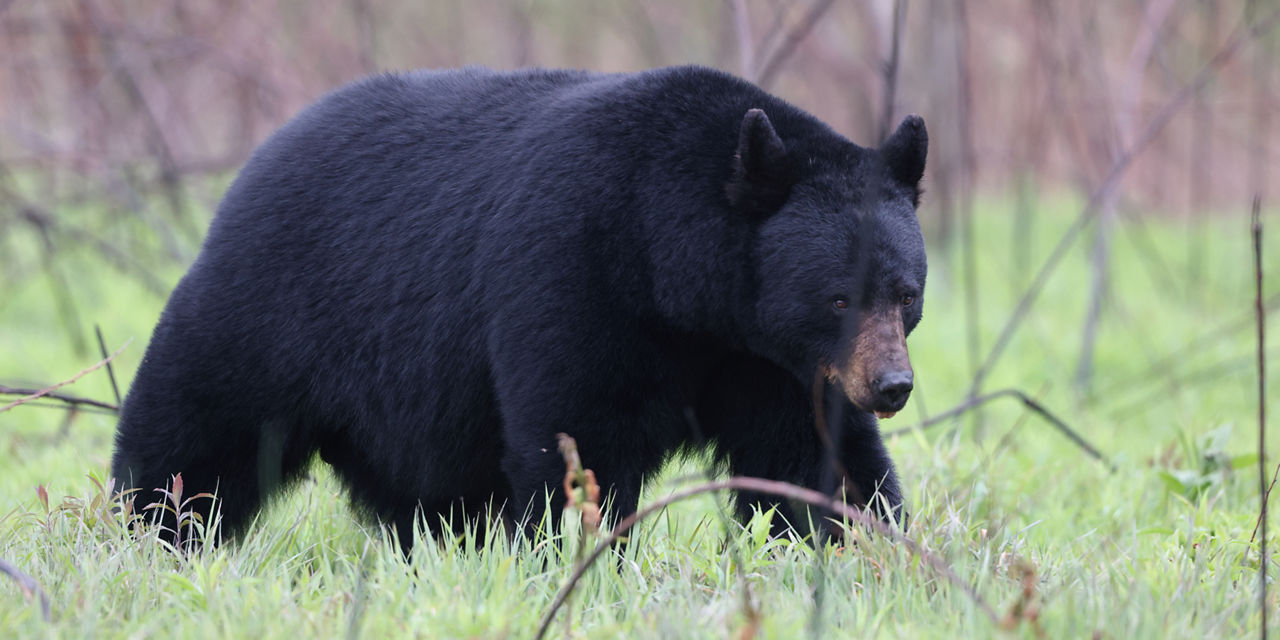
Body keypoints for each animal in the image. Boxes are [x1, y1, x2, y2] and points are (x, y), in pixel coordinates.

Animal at [110, 66, 926, 550]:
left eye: (907, 294)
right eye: (837, 297)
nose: (892, 386)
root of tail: (257, 161)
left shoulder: (766, 360)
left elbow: (810, 454)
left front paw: (869, 546)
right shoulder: (575, 275)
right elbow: (579, 435)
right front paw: (580, 558)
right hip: (272, 304)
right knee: (198, 427)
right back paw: (151, 528)